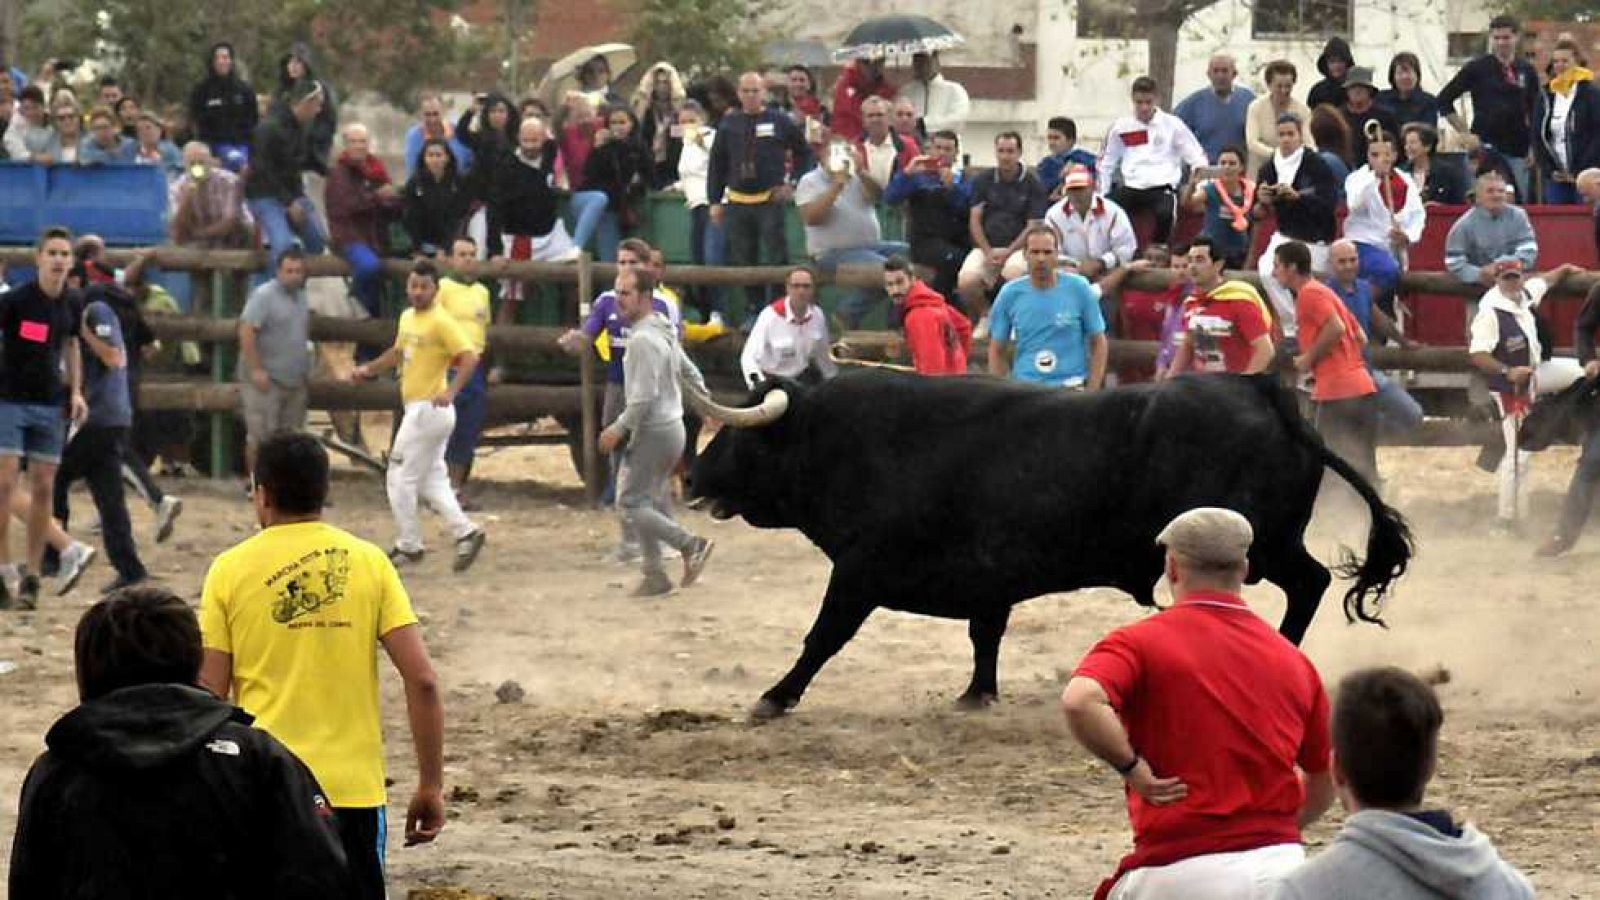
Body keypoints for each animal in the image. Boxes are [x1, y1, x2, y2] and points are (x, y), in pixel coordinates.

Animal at [688, 369, 1414, 714]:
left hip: (1261, 547)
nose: (690, 477)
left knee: (1309, 584)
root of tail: (1261, 391)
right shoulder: (989, 578)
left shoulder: (860, 569)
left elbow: (823, 636)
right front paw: (977, 694)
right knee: (1309, 583)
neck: (844, 439)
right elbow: (985, 636)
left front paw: (775, 696)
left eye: (742, 439)